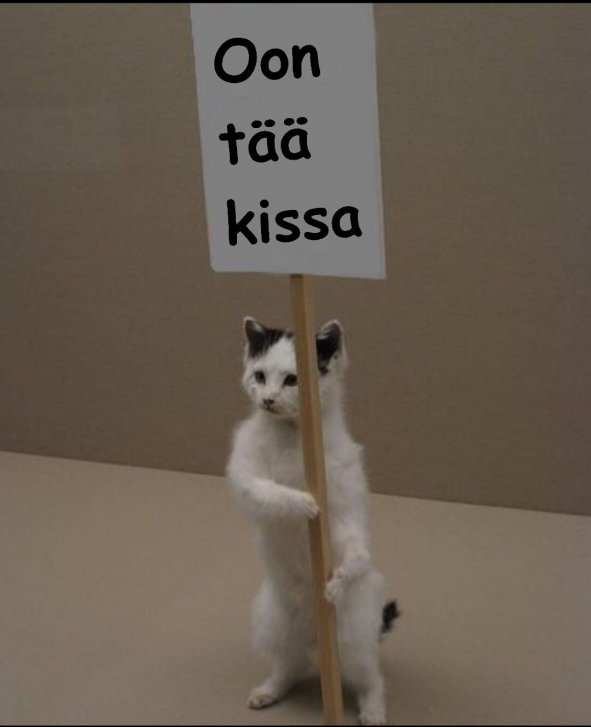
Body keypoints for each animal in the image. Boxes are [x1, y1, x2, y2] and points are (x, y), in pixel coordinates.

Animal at [225, 316, 399, 725]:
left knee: (371, 679)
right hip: (272, 623)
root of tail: (313, 636)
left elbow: (357, 553)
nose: (268, 399)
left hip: (352, 640)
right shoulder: (245, 477)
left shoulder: (348, 516)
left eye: (292, 380)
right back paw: (268, 691)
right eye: (259, 375)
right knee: (288, 667)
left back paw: (373, 711)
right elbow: (269, 492)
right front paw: (302, 502)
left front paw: (337, 583)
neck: (292, 434)